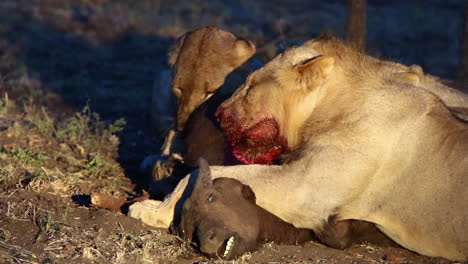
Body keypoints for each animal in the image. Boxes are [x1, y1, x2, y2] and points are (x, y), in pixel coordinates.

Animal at [130, 35, 468, 260]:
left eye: (250, 87)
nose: (219, 112)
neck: (336, 107)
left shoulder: (303, 187)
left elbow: (199, 174)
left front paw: (154, 210)